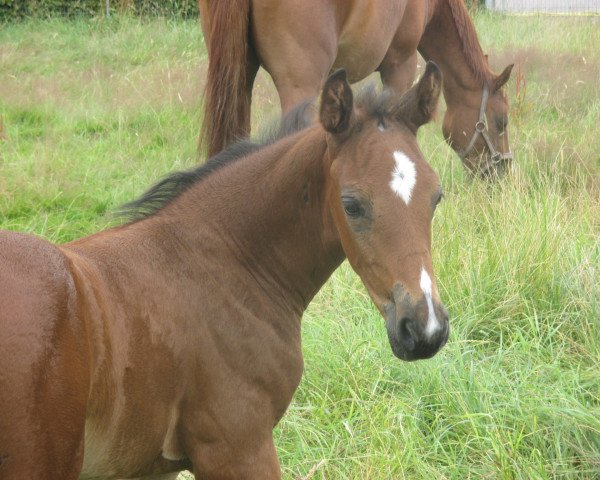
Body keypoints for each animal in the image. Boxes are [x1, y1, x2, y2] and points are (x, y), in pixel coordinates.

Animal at [0, 63, 448, 480]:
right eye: (351, 204)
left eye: (436, 196)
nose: (424, 328)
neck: (228, 262)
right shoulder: (238, 446)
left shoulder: (154, 467)